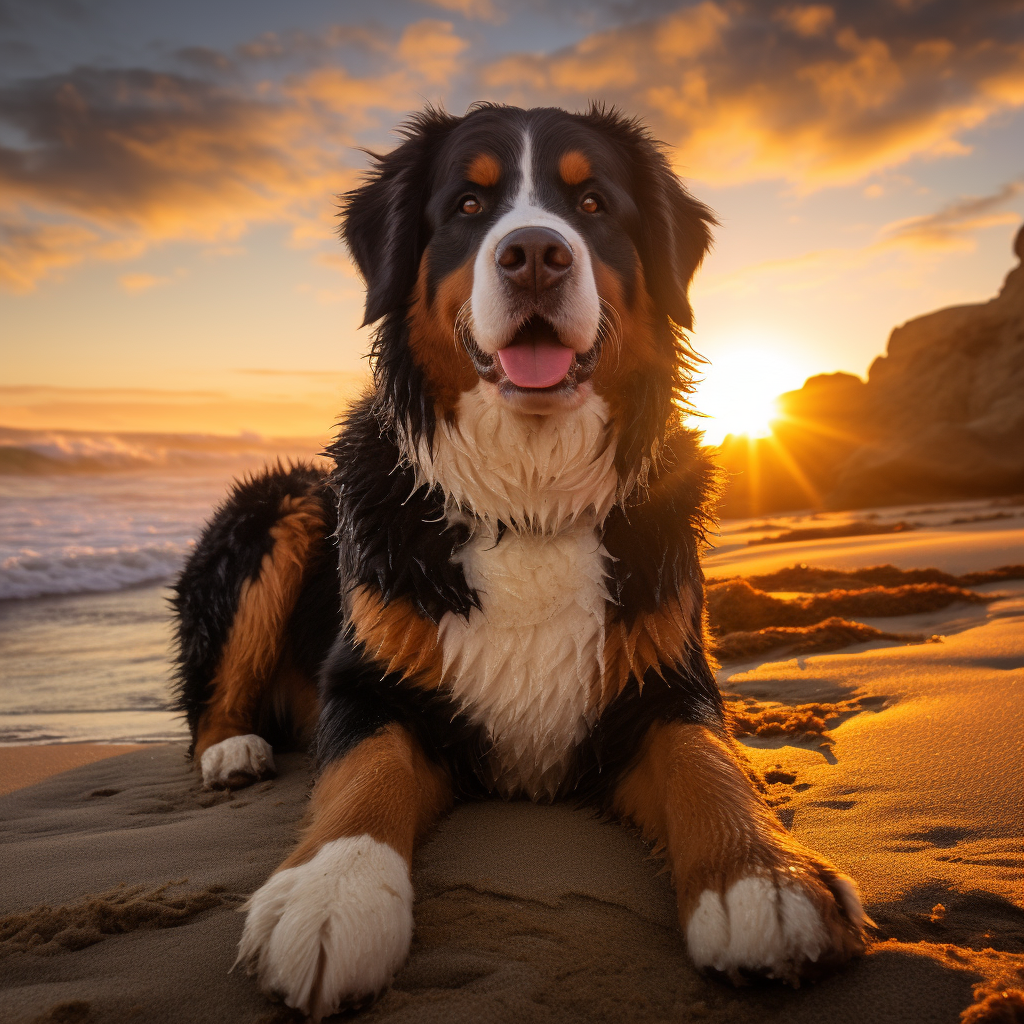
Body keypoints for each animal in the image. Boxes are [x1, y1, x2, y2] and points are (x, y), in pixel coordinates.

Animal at [172, 101, 868, 1015]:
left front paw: (764, 878)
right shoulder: (369, 683)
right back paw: (234, 753)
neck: (529, 503)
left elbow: (709, 761)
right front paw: (331, 896)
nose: (535, 252)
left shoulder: (661, 678)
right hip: (280, 509)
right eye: (470, 205)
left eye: (593, 203)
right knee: (212, 698)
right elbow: (363, 773)